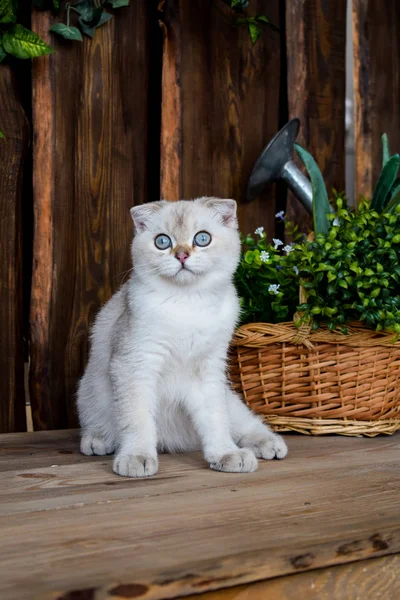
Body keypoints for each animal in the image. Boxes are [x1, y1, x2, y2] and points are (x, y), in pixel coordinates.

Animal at [76, 198, 288, 478]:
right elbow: (138, 419)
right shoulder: (135, 366)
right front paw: (136, 457)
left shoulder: (208, 373)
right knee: (99, 423)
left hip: (228, 396)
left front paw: (224, 454)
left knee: (244, 424)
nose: (182, 255)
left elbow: (215, 421)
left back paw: (267, 445)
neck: (188, 303)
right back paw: (99, 441)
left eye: (202, 238)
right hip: (89, 393)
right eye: (162, 242)